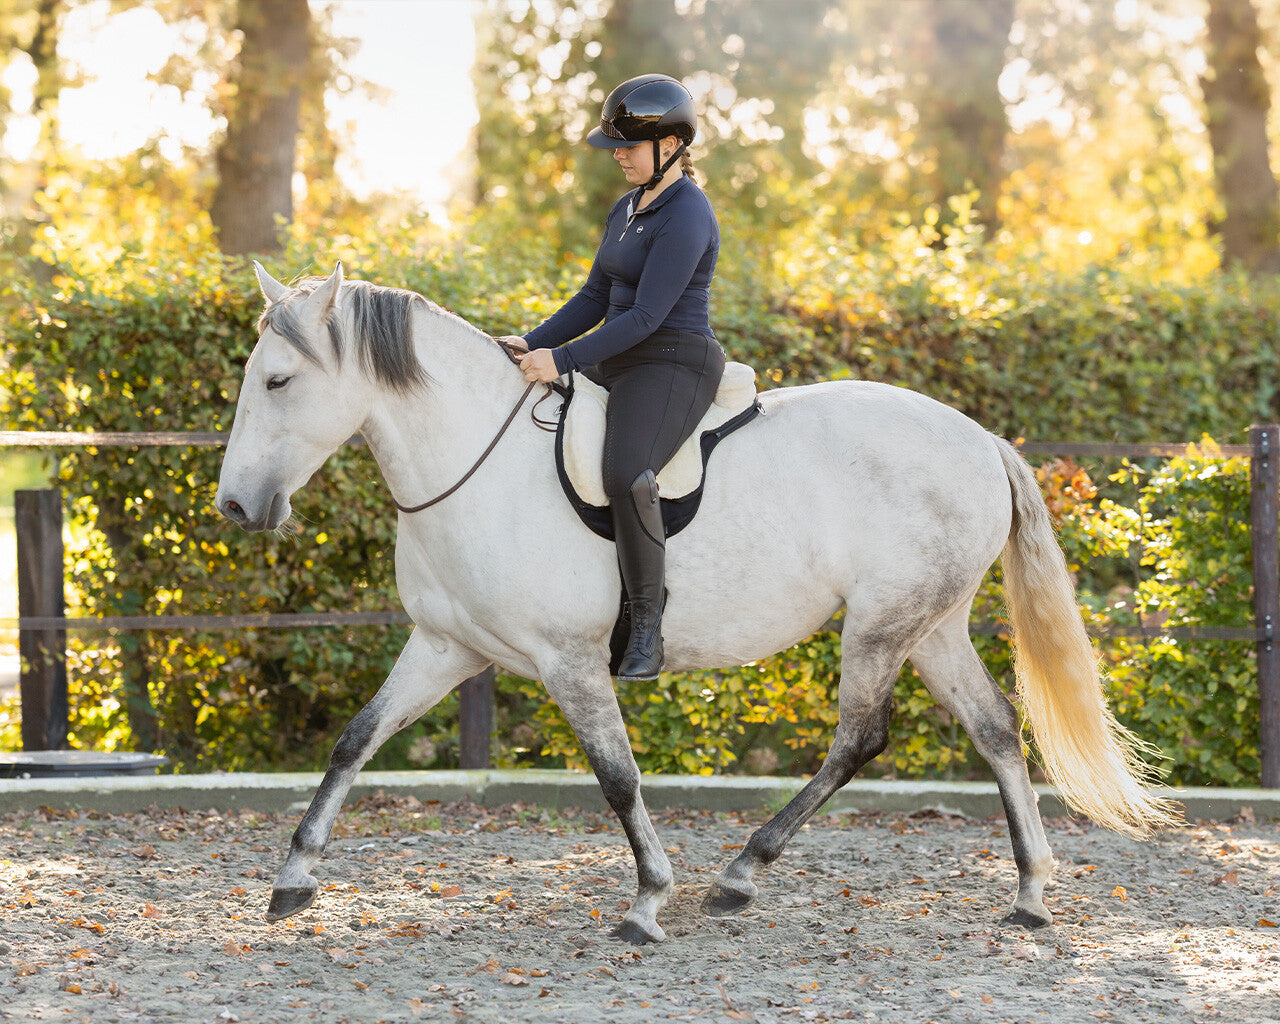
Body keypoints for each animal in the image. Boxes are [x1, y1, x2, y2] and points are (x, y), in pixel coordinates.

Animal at [215, 262, 1180, 944]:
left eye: (277, 383)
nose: (236, 507)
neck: (476, 463)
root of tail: (982, 439)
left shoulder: (569, 659)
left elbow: (617, 776)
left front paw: (648, 901)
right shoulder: (446, 646)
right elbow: (355, 740)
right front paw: (293, 880)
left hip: (881, 626)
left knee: (861, 738)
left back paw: (742, 873)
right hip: (931, 627)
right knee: (995, 731)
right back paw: (1029, 894)